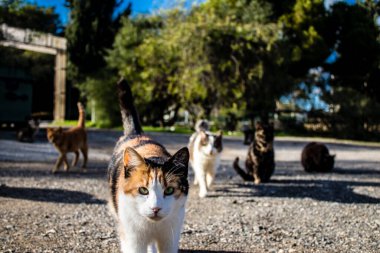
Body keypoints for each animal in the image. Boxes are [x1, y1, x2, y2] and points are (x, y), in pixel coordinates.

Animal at [107, 79, 190, 253]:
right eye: (143, 190)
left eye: (169, 190)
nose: (155, 209)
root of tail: (136, 134)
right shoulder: (133, 239)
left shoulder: (170, 237)